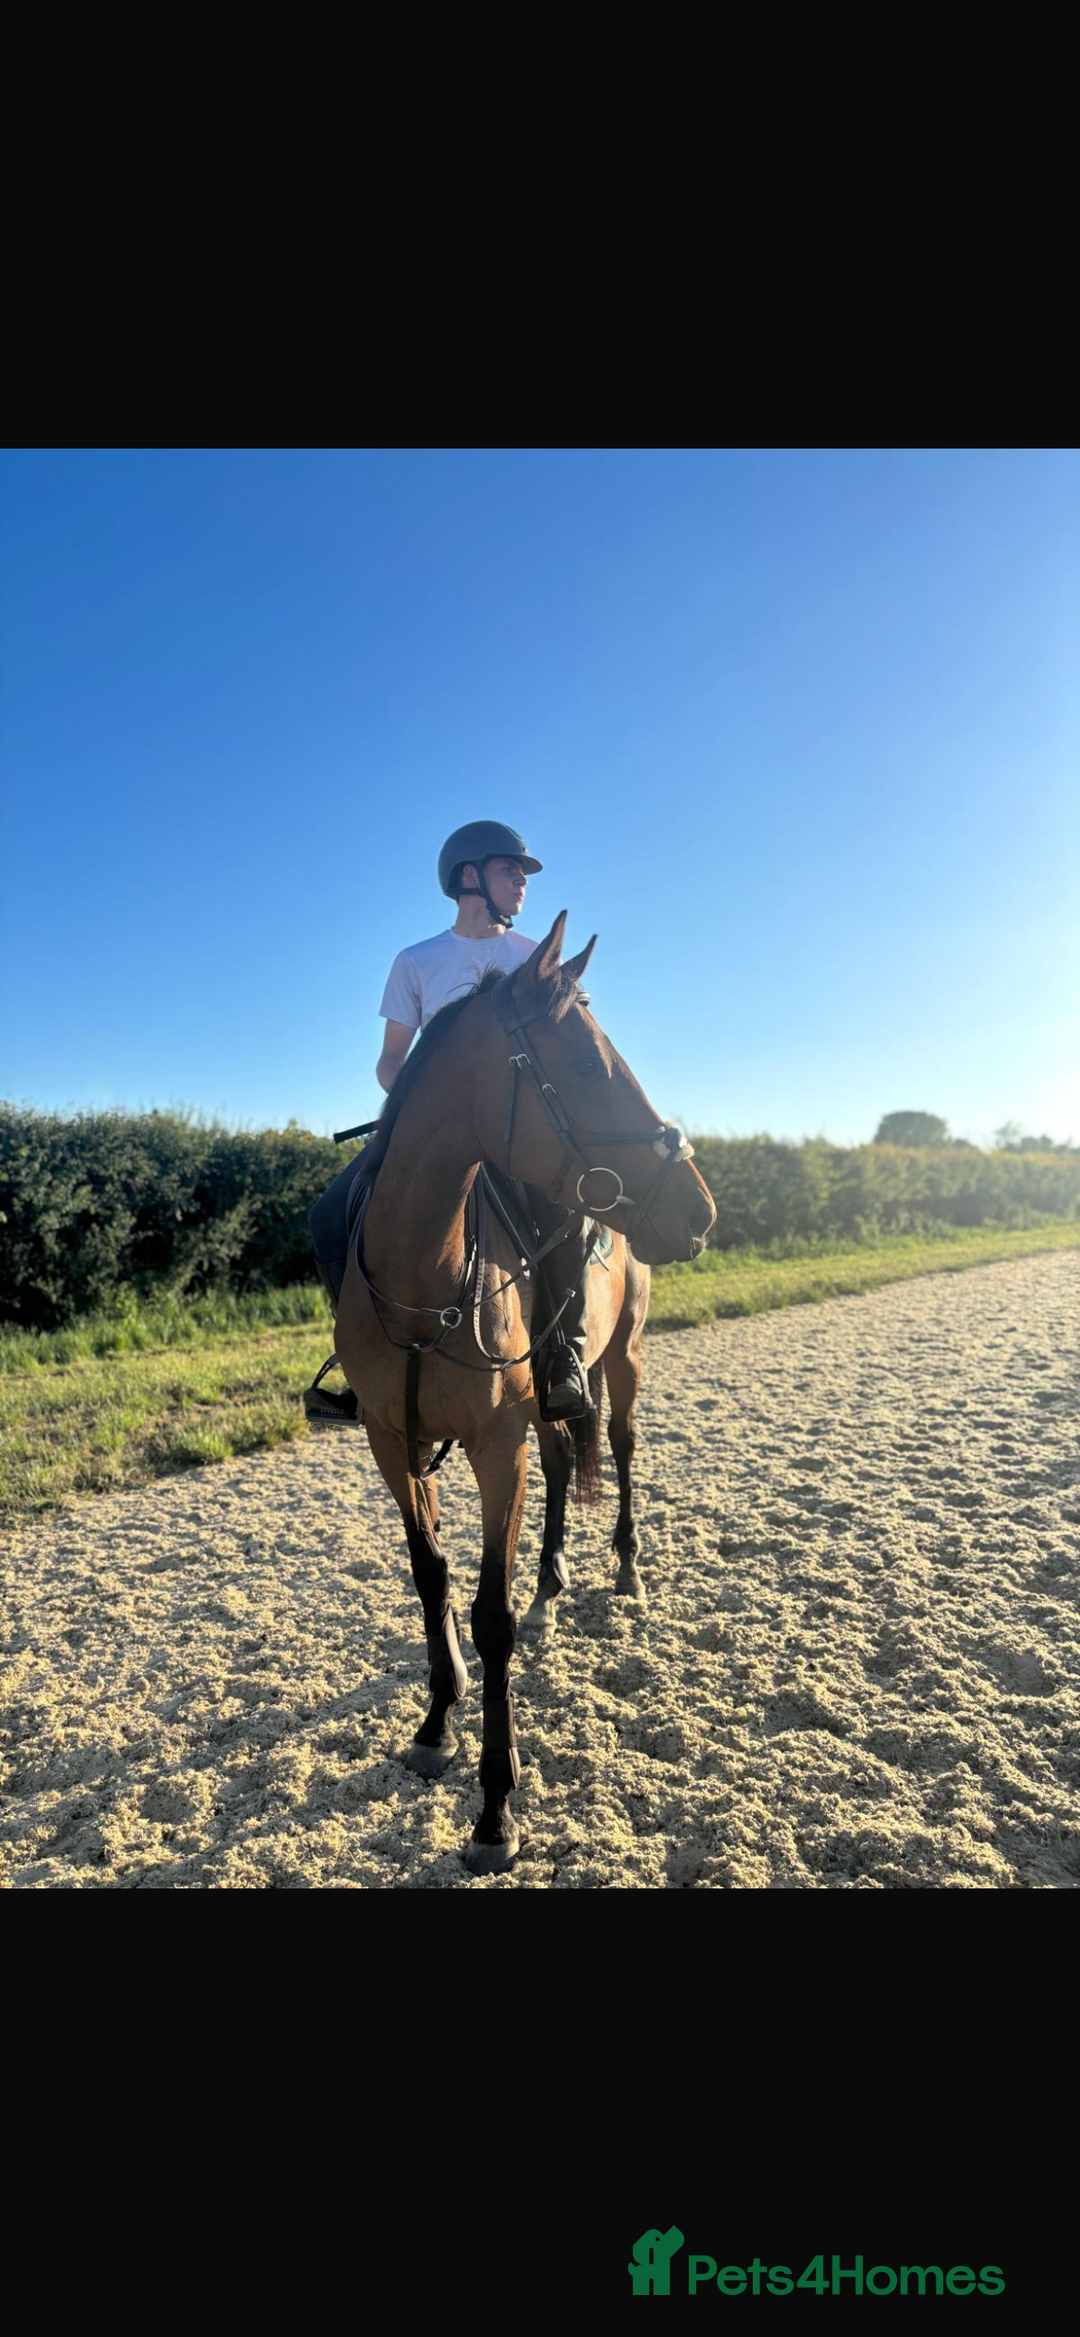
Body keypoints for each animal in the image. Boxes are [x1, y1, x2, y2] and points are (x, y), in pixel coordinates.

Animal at [332, 909, 717, 1873]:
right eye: (584, 1065)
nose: (700, 1210)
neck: (425, 1272)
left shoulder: (492, 1445)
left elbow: (489, 1614)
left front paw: (496, 1807)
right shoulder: (392, 1440)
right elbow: (431, 1577)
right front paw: (437, 1721)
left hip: (622, 1362)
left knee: (618, 1448)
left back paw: (624, 1568)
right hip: (542, 1401)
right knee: (561, 1464)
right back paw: (551, 1583)